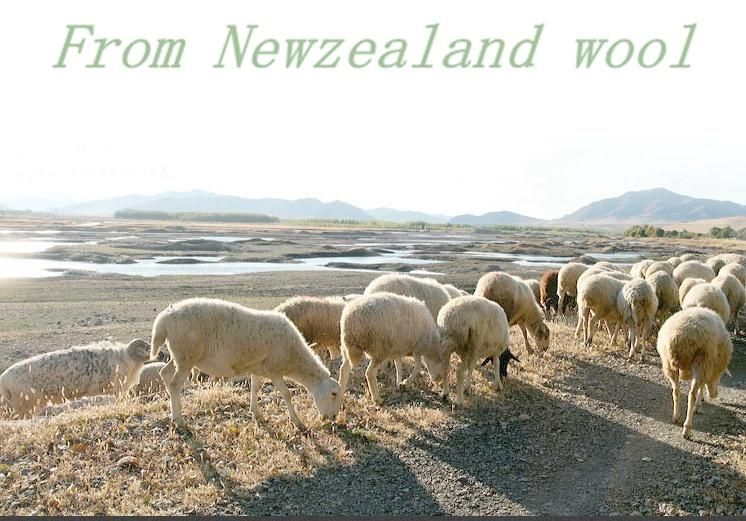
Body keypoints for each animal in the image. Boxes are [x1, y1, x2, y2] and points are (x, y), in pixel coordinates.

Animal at [150, 298, 342, 428]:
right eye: (334, 393)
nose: (332, 418)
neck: (294, 358)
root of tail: (163, 320)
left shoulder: (258, 368)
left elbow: (255, 388)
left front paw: (256, 413)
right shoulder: (274, 370)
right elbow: (287, 394)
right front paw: (297, 422)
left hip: (179, 355)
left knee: (165, 374)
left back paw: (173, 412)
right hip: (186, 356)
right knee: (175, 383)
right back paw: (179, 420)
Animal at [652, 306, 728, 436]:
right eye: (720, 376)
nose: (715, 395)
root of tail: (680, 336)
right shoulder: (707, 366)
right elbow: (701, 387)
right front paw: (698, 405)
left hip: (669, 364)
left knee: (676, 391)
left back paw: (676, 417)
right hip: (701, 361)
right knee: (691, 394)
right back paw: (687, 428)